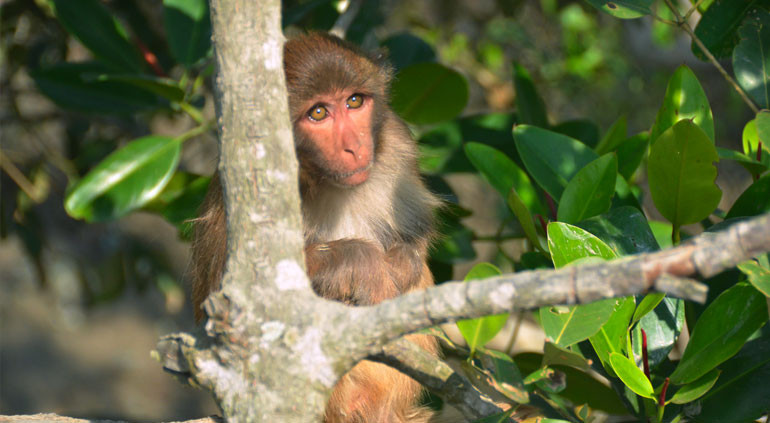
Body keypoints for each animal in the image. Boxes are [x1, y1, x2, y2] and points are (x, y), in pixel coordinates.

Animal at [191, 33, 440, 423]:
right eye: (318, 113)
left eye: (354, 101)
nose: (355, 147)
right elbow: (223, 301)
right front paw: (362, 262)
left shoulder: (399, 143)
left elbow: (416, 242)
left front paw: (402, 261)